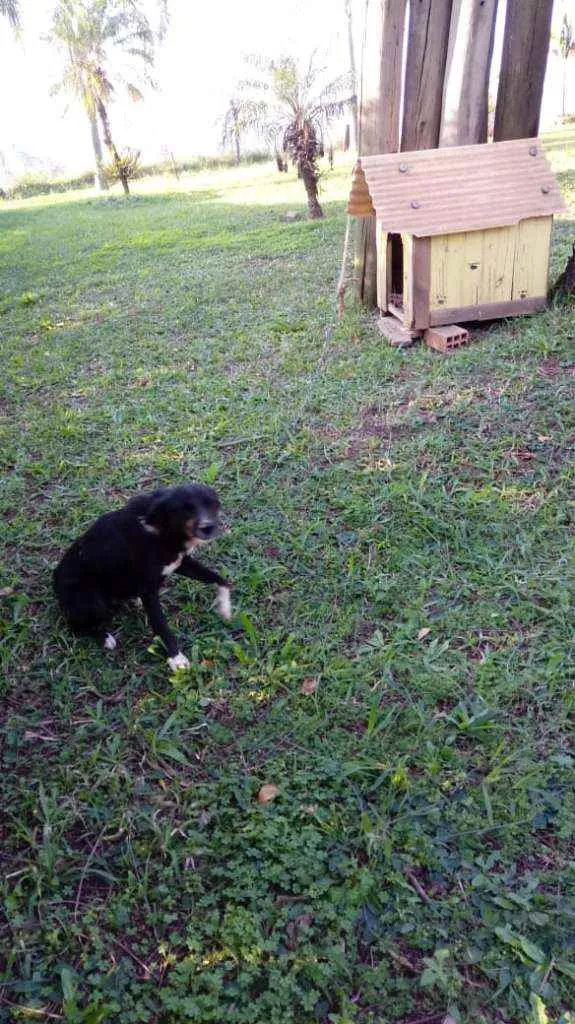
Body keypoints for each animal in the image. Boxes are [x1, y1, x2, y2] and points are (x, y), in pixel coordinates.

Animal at [53, 481, 230, 667]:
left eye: (212, 505)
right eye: (185, 509)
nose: (208, 527)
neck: (161, 529)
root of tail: (54, 580)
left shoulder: (180, 563)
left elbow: (220, 580)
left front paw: (225, 607)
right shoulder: (149, 591)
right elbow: (162, 626)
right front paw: (176, 658)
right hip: (93, 602)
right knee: (76, 626)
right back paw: (104, 638)